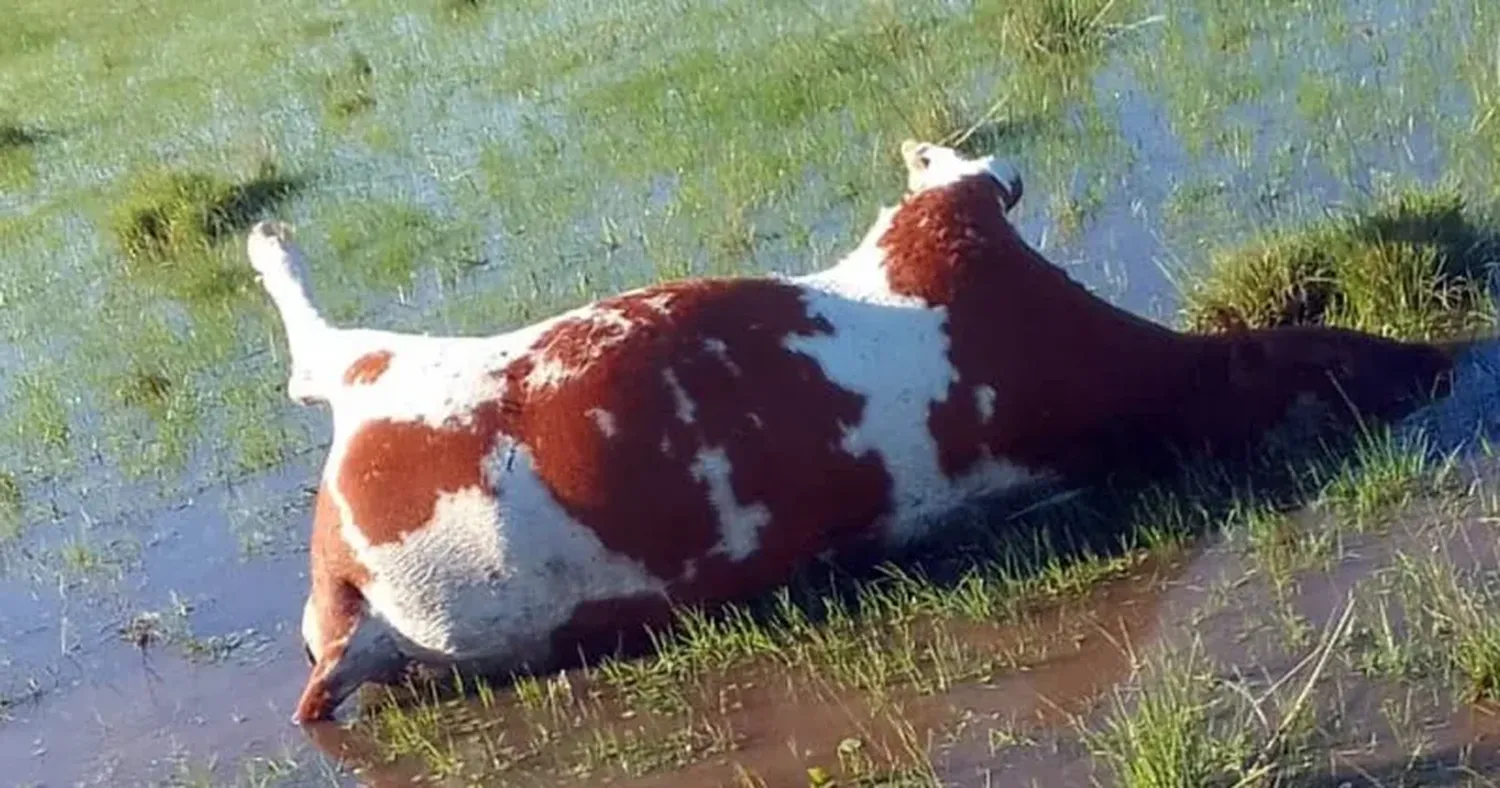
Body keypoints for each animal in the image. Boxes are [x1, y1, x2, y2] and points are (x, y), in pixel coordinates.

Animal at [249, 138, 1452, 723]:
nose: (1440, 365)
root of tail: (365, 622)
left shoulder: (943, 242)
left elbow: (974, 176)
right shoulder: (945, 244)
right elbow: (979, 173)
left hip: (393, 384)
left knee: (319, 356)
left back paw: (268, 244)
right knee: (314, 358)